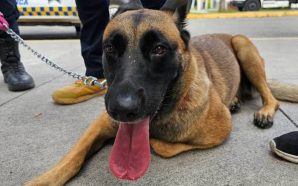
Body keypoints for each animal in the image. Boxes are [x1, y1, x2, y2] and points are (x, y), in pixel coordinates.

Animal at [25, 0, 298, 185]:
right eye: (110, 48)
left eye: (159, 49)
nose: (122, 110)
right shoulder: (101, 123)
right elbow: (72, 156)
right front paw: (46, 178)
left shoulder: (220, 130)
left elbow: (162, 146)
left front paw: (153, 141)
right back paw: (234, 102)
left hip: (243, 45)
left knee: (271, 97)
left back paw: (263, 111)